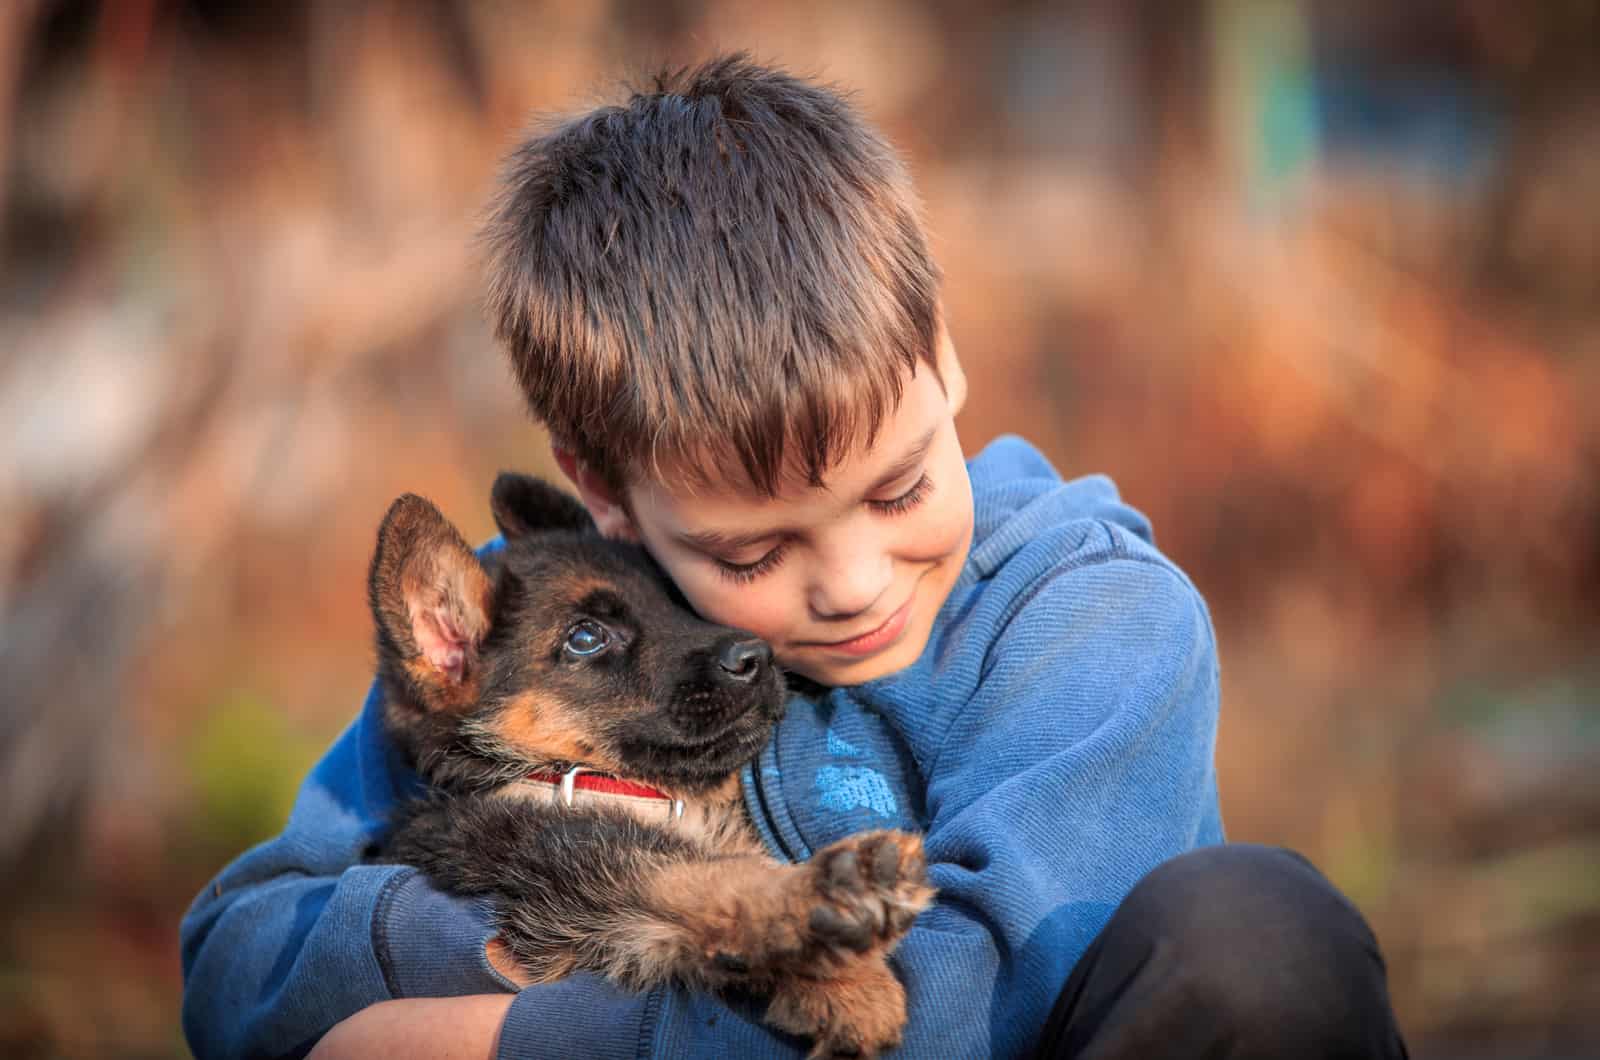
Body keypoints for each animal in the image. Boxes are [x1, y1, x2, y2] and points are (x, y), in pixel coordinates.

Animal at [364, 477, 934, 1056]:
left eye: (677, 600)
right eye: (585, 637)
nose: (757, 656)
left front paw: (839, 979)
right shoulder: (566, 867)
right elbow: (705, 876)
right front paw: (840, 905)